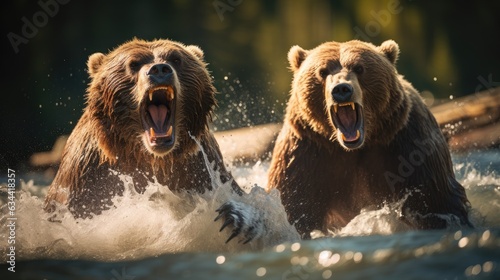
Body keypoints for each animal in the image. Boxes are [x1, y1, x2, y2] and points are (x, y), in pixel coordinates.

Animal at [44, 38, 258, 244]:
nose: (160, 69)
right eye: (133, 63)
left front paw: (236, 217)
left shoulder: (201, 167)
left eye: (176, 59)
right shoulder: (86, 178)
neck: (152, 159)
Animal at [268, 38, 470, 237]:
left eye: (359, 68)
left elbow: (436, 200)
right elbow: (295, 203)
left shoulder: (409, 145)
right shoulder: (305, 152)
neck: (355, 147)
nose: (341, 89)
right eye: (322, 71)